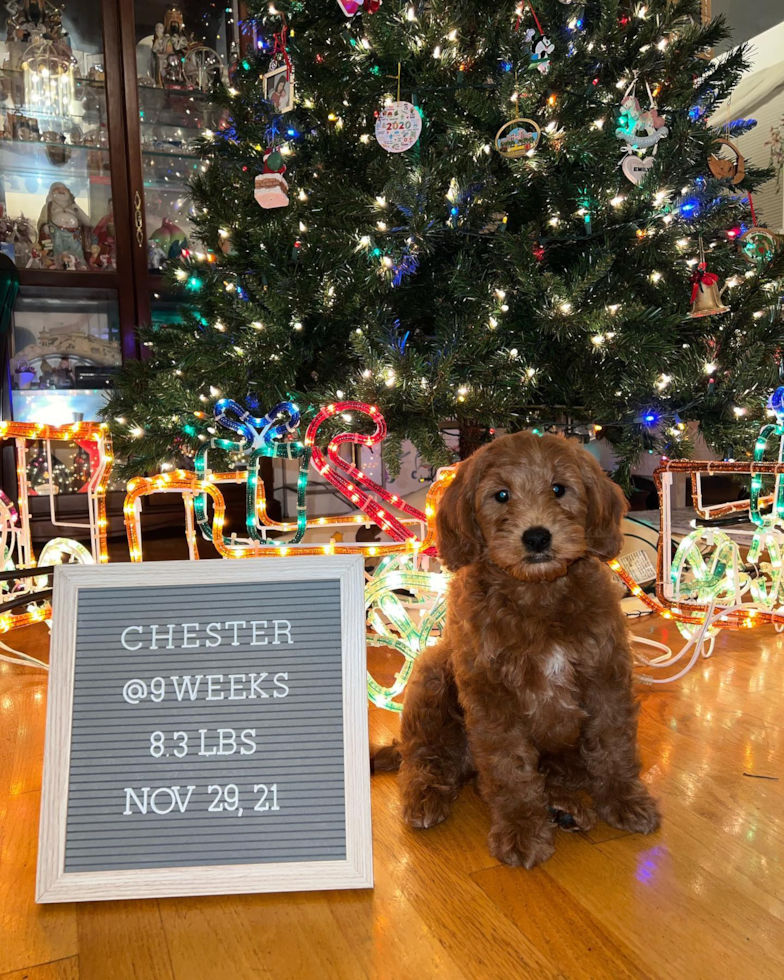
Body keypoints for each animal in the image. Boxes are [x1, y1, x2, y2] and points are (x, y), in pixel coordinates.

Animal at [376, 428, 660, 864]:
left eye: (559, 489)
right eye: (501, 495)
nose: (537, 536)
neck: (537, 593)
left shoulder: (605, 675)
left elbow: (613, 744)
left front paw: (625, 799)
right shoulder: (492, 694)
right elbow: (509, 767)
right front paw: (522, 829)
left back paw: (564, 807)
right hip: (432, 673)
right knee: (426, 756)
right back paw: (426, 796)